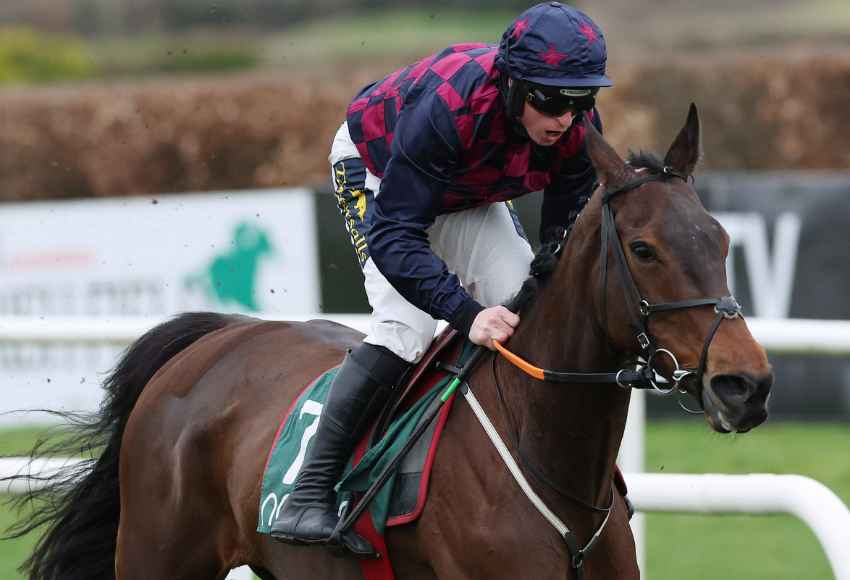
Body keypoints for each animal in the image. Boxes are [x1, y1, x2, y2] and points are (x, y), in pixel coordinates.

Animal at [6, 105, 772, 580]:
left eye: (721, 240)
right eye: (644, 249)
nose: (746, 385)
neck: (542, 443)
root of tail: (213, 338)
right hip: (157, 554)